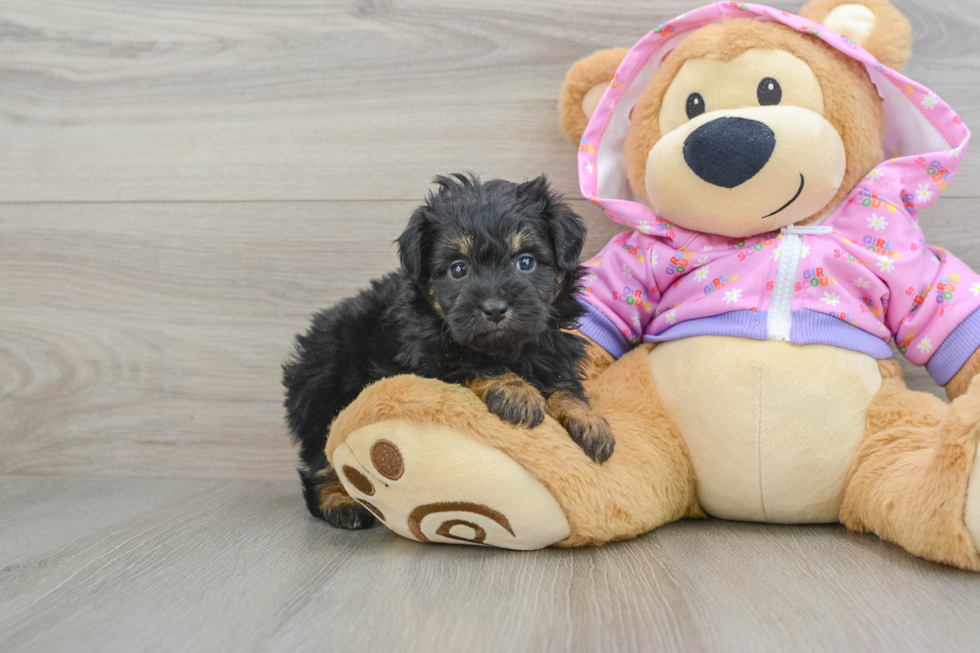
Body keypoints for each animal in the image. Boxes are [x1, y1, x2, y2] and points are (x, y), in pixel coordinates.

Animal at [284, 174, 612, 528]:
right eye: (458, 269)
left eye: (525, 262)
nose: (495, 308)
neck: (507, 349)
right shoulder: (428, 358)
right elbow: (473, 362)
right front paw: (516, 391)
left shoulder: (553, 349)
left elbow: (564, 384)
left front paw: (588, 419)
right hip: (324, 389)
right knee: (319, 457)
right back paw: (339, 501)